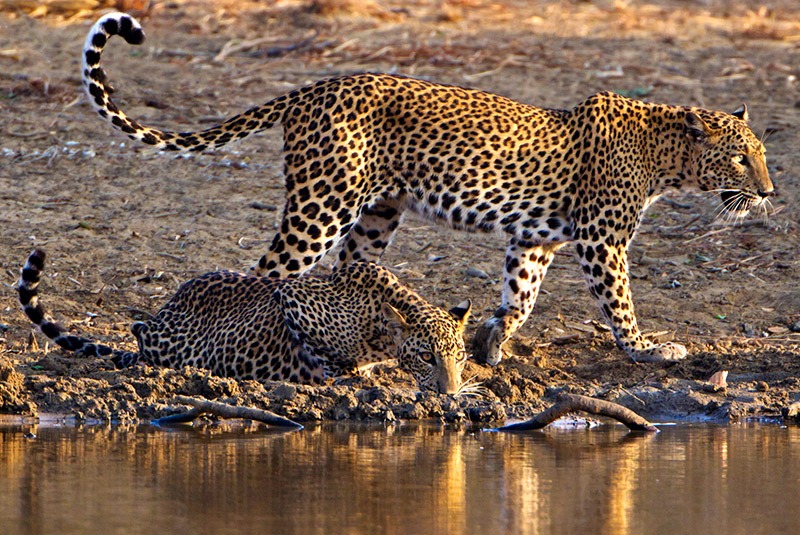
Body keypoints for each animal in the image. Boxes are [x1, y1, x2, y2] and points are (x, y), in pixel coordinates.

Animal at [18, 249, 476, 396]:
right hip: (167, 341)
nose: (451, 393)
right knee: (138, 330)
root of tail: (168, 307)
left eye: (459, 356)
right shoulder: (293, 298)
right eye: (426, 357)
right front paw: (335, 372)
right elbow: (325, 356)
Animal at [79, 12, 768, 366]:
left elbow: (520, 297)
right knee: (269, 273)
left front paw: (490, 346)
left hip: (376, 213)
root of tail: (313, 86)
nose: (767, 192)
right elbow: (620, 303)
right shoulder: (602, 240)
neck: (666, 158)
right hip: (323, 202)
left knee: (345, 273)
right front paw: (649, 349)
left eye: (761, 156)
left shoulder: (536, 240)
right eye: (741, 159)